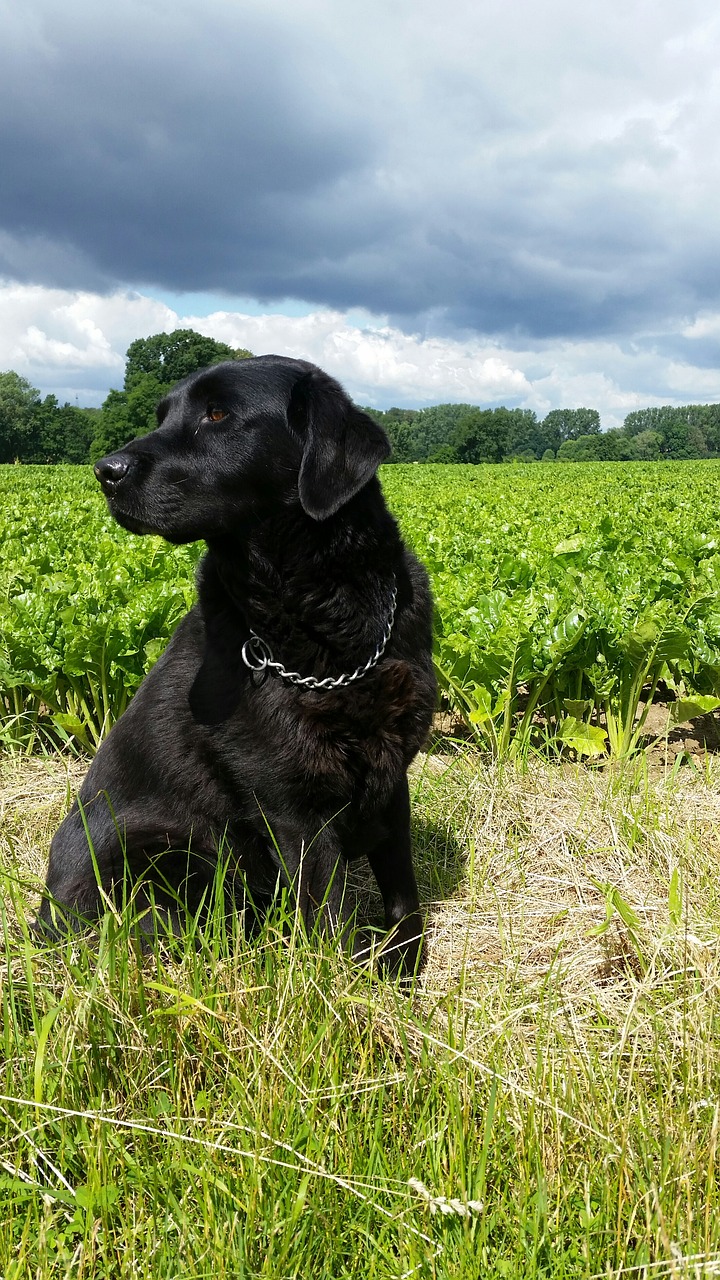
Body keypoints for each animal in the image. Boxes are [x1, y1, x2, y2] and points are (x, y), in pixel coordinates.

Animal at [36, 355, 435, 972]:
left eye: (218, 414)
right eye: (164, 414)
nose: (104, 471)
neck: (330, 625)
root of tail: (43, 919)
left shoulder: (391, 780)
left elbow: (401, 900)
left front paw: (403, 977)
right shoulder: (296, 812)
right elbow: (328, 925)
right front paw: (344, 991)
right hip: (181, 859)